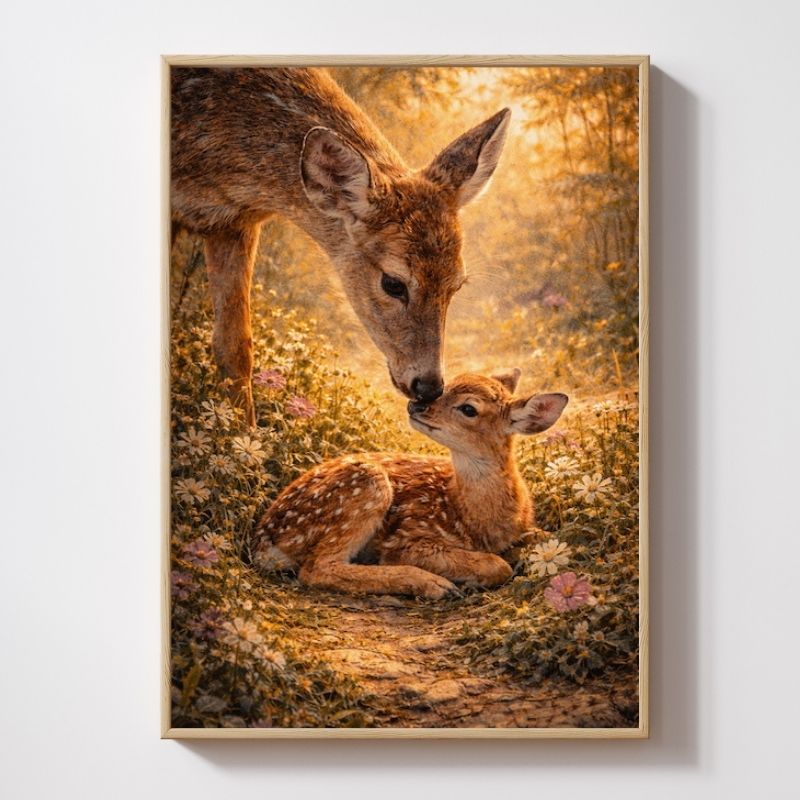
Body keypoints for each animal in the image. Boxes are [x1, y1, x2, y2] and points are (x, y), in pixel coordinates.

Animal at [171, 67, 511, 426]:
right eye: (393, 283)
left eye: (456, 286)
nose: (429, 386)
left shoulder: (233, 223)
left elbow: (235, 347)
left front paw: (243, 434)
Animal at [250, 369, 568, 599]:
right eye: (447, 385)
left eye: (469, 409)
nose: (416, 404)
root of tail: (262, 538)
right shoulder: (407, 539)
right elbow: (498, 564)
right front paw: (469, 581)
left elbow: (544, 537)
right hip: (365, 486)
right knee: (316, 568)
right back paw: (435, 585)